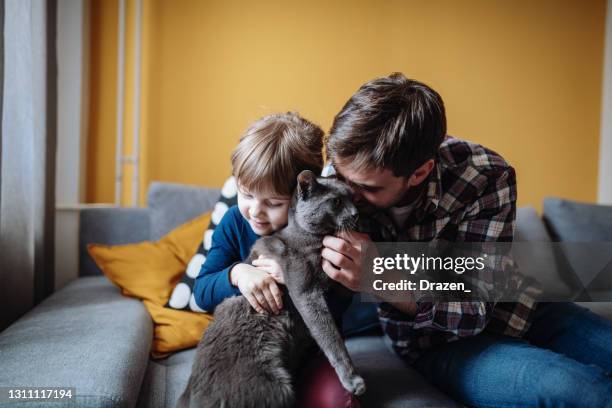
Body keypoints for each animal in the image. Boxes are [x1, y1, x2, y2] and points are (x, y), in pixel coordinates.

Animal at [175, 170, 366, 408]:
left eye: (354, 198)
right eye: (337, 201)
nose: (357, 214)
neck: (310, 238)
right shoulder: (306, 292)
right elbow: (329, 335)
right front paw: (353, 380)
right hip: (274, 386)